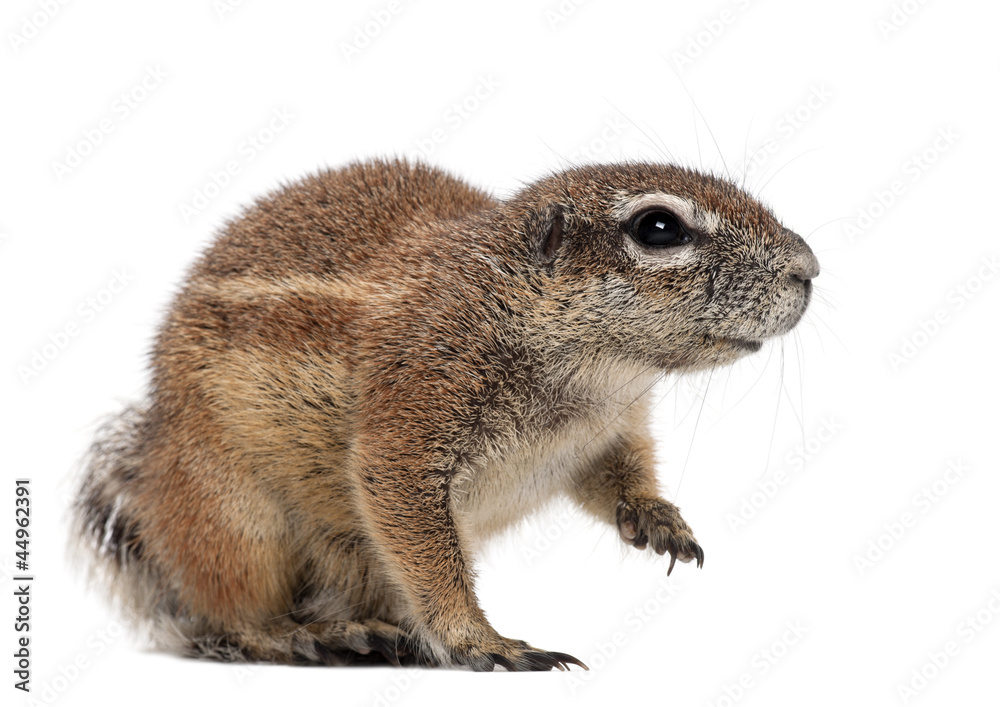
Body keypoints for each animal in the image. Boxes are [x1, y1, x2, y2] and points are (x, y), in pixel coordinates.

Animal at [72, 158, 819, 671]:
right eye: (658, 227)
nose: (809, 268)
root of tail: (154, 461)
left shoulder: (607, 432)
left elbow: (616, 477)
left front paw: (659, 520)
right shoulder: (412, 417)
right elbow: (425, 546)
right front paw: (484, 641)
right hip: (232, 518)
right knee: (223, 612)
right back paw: (300, 635)